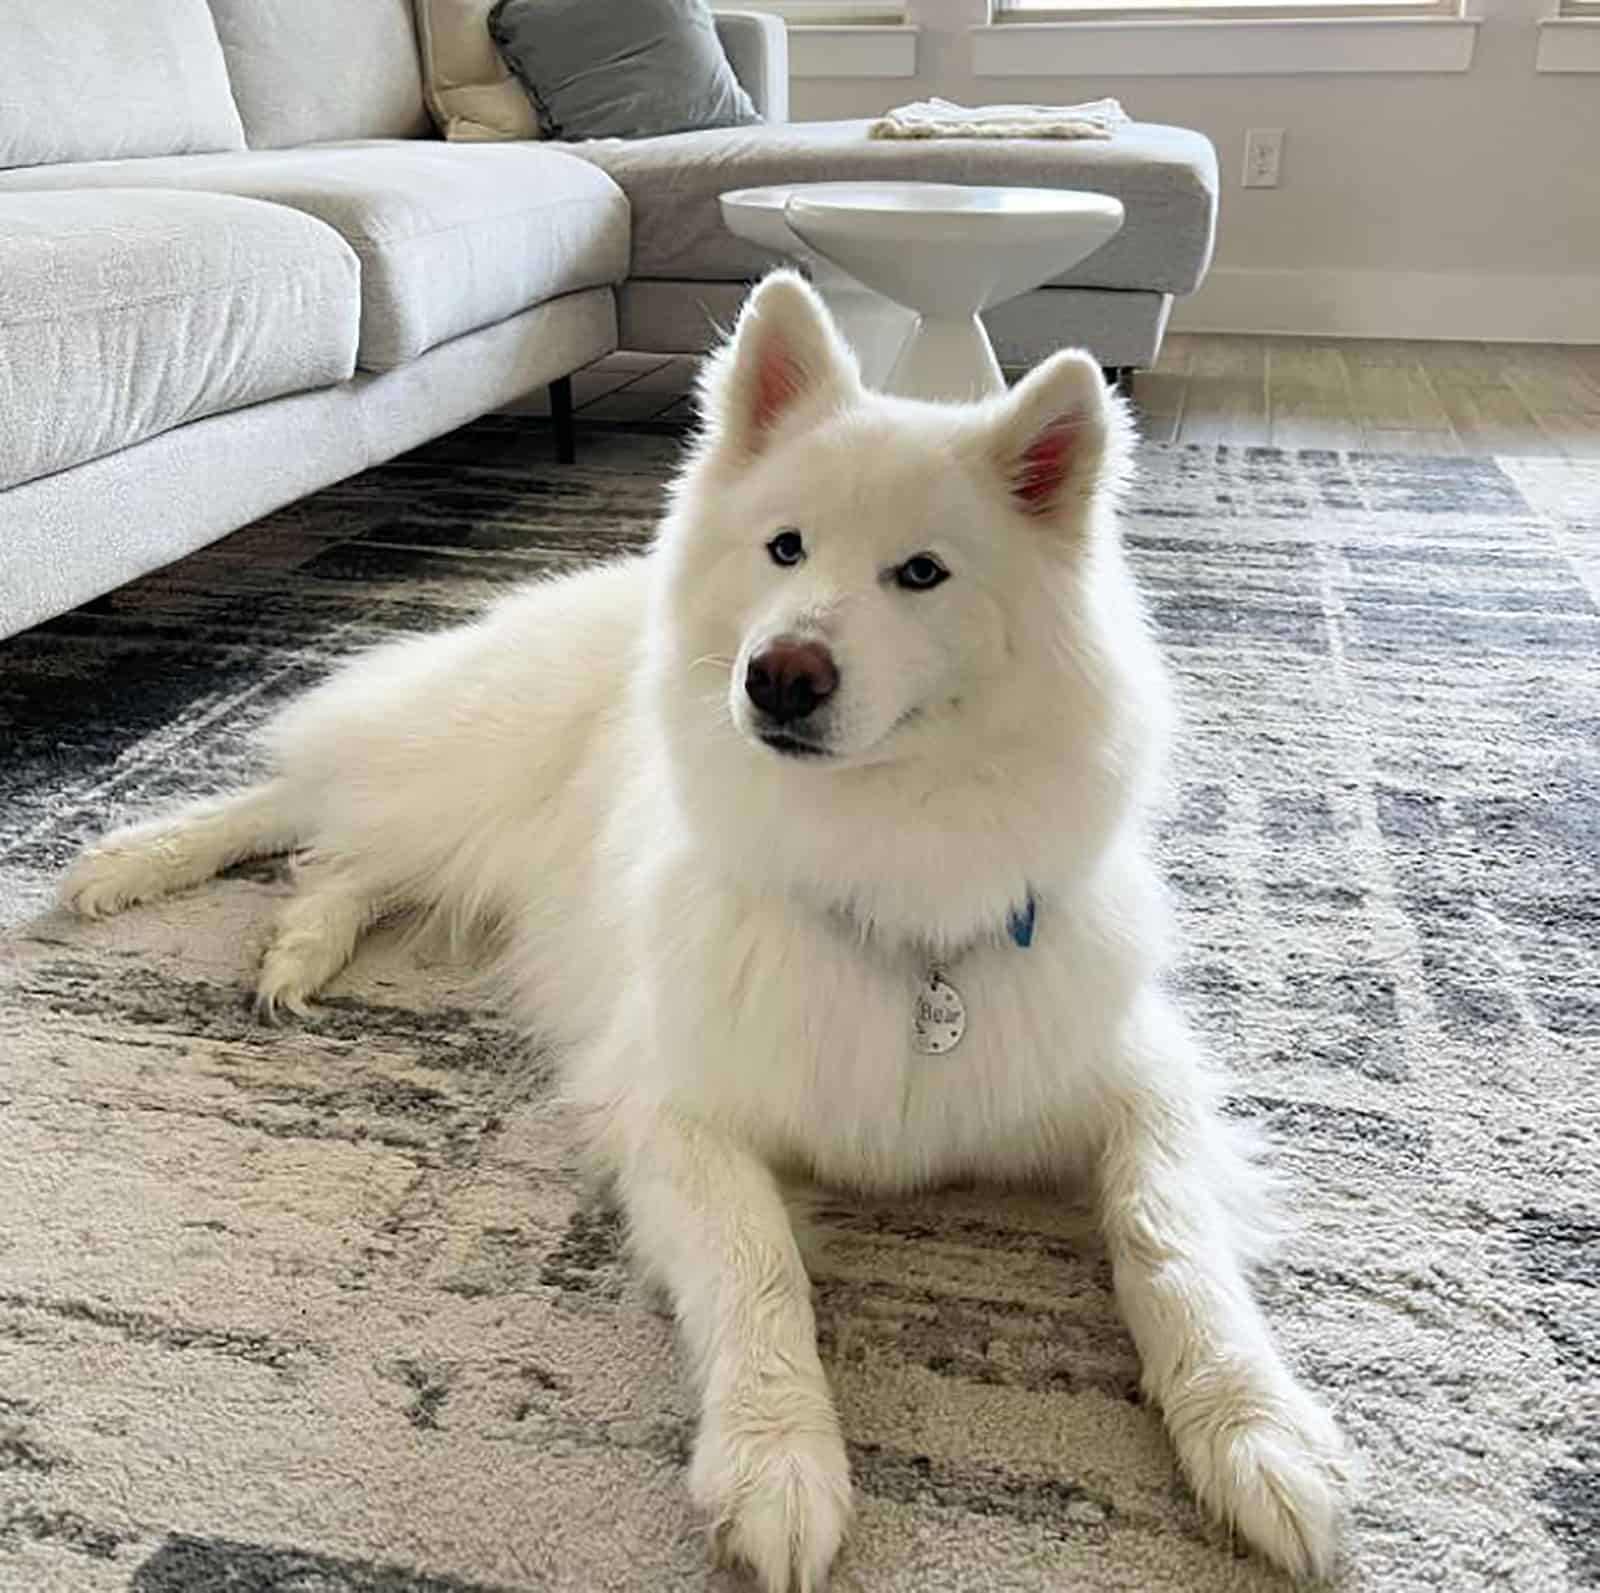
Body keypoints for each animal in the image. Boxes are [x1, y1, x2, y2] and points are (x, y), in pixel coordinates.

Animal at [68, 273, 1356, 1593]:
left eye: (922, 573)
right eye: (784, 548)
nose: (778, 675)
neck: (882, 860)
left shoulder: (1137, 1082)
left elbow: (1169, 1240)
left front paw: (1259, 1439)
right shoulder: (678, 1107)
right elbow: (757, 1267)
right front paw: (776, 1462)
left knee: (356, 861)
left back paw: (298, 947)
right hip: (460, 773)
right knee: (305, 796)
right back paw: (132, 862)